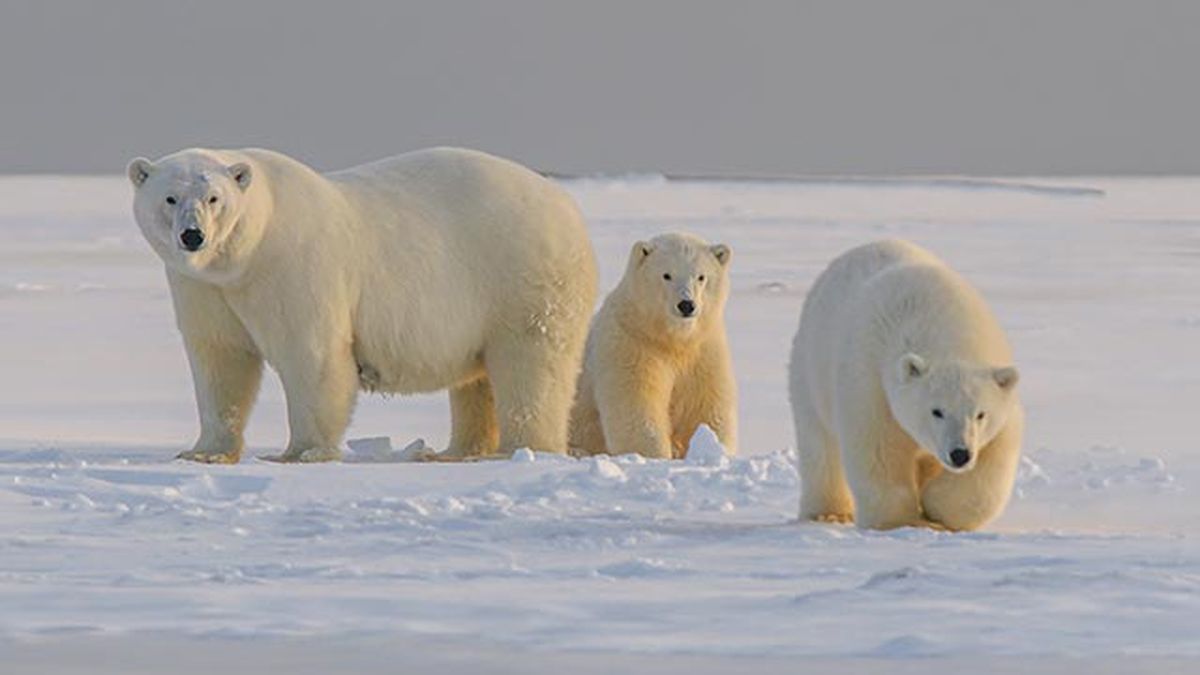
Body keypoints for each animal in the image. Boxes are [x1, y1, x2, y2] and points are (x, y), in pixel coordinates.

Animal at [127, 146, 597, 463]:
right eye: (169, 198)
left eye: (214, 199)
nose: (193, 236)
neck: (248, 255)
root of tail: (567, 205)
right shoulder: (204, 288)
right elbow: (220, 359)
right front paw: (203, 452)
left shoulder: (295, 267)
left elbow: (312, 355)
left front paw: (301, 453)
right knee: (477, 380)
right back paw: (456, 451)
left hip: (520, 277)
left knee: (531, 366)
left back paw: (523, 449)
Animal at [569, 232, 737, 459]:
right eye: (666, 275)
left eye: (701, 277)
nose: (686, 305)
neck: (671, 338)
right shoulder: (632, 344)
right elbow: (637, 406)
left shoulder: (703, 350)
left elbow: (705, 406)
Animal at [788, 239, 1022, 531]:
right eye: (936, 411)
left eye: (980, 414)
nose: (960, 454)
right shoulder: (871, 383)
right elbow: (878, 452)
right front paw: (902, 520)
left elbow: (991, 464)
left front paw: (936, 507)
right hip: (810, 368)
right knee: (819, 444)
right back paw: (828, 513)